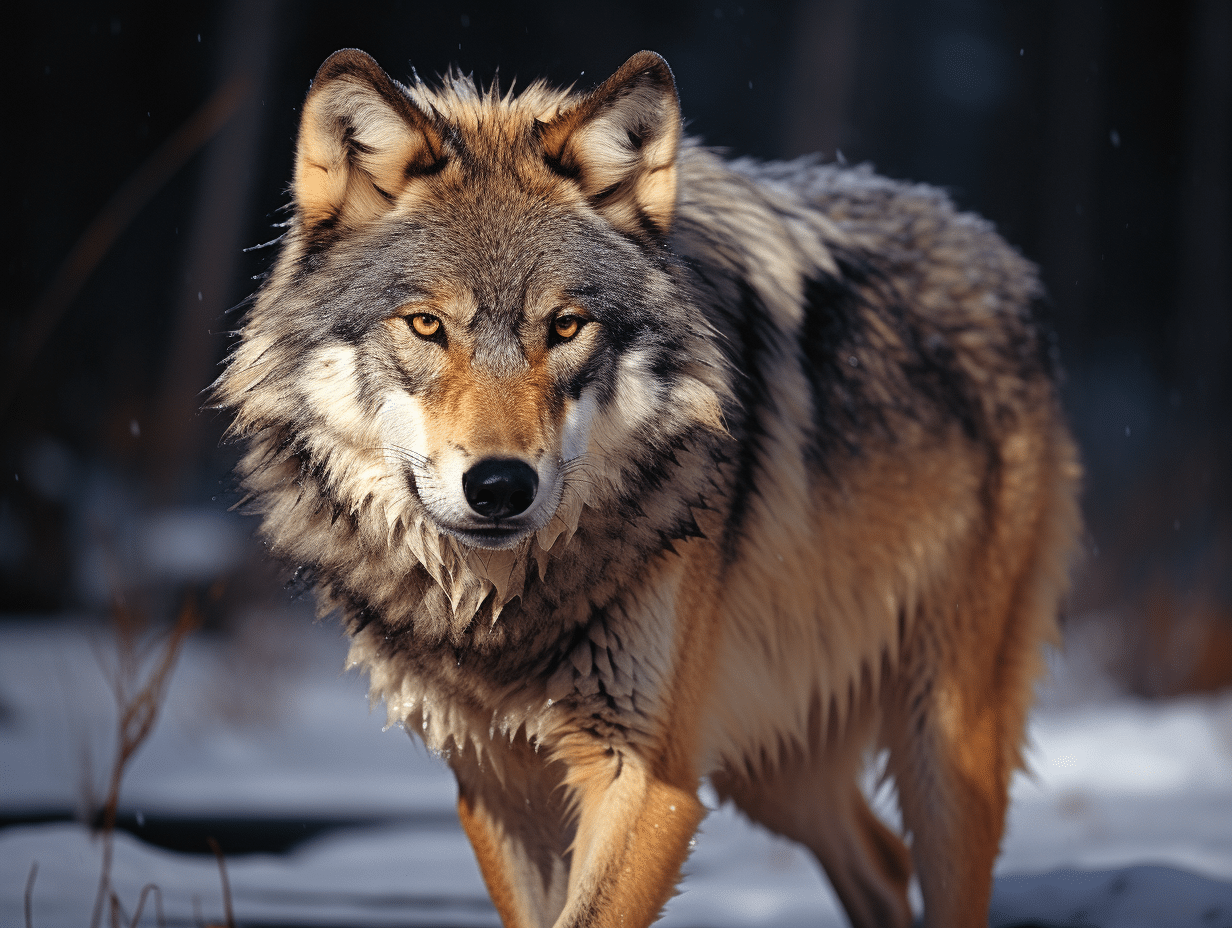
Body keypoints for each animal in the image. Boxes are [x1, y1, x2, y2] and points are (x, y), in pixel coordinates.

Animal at [215, 48, 1081, 928]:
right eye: (427, 325)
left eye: (565, 326)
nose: (500, 486)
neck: (504, 609)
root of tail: (997, 252)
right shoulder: (499, 786)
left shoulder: (646, 775)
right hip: (765, 754)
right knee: (880, 856)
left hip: (940, 745)